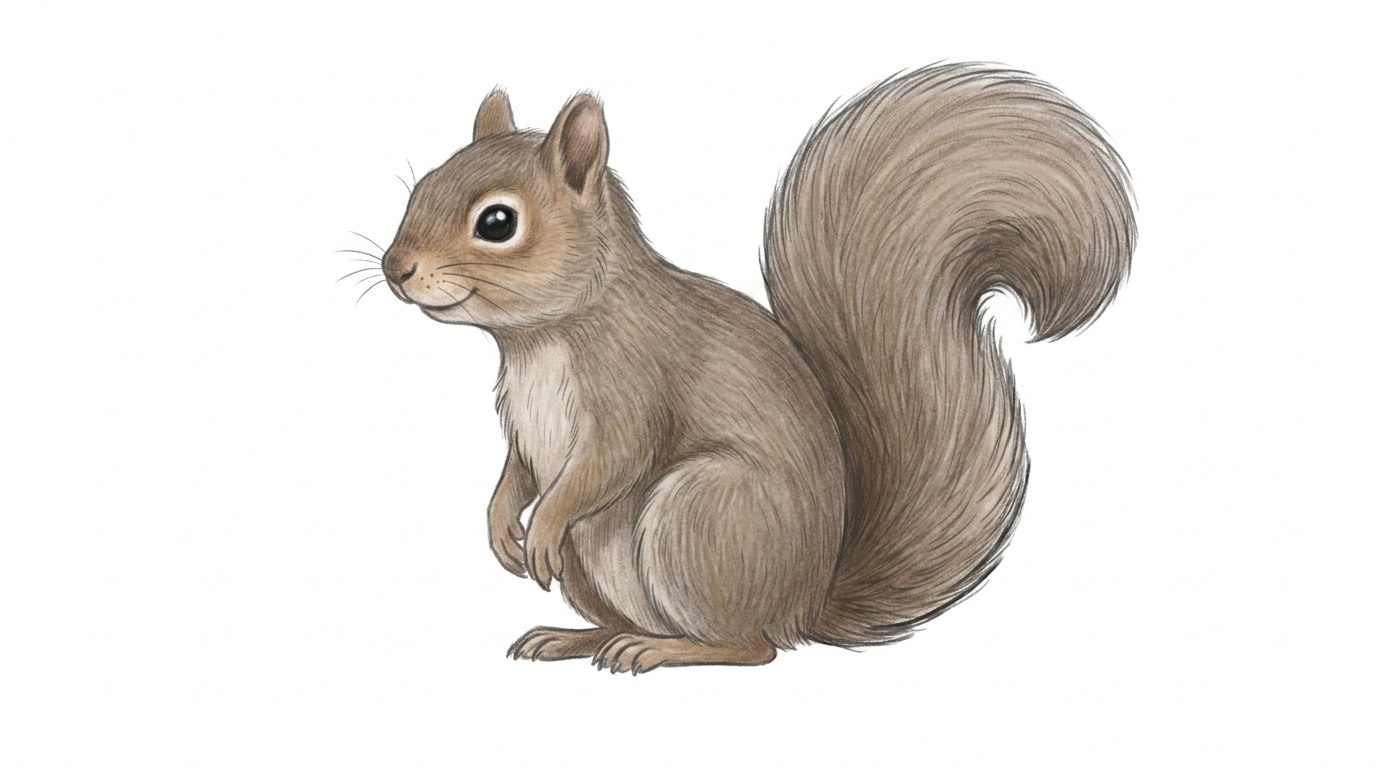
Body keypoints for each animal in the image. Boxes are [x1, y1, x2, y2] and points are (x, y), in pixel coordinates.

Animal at [378, 63, 1134, 673]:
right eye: (421, 189)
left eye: (497, 223)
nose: (394, 267)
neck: (538, 339)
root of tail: (804, 607)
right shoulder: (522, 421)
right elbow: (519, 471)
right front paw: (502, 524)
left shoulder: (633, 387)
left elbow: (606, 464)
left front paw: (539, 527)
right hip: (604, 563)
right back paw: (576, 638)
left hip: (702, 513)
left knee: (751, 647)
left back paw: (661, 648)